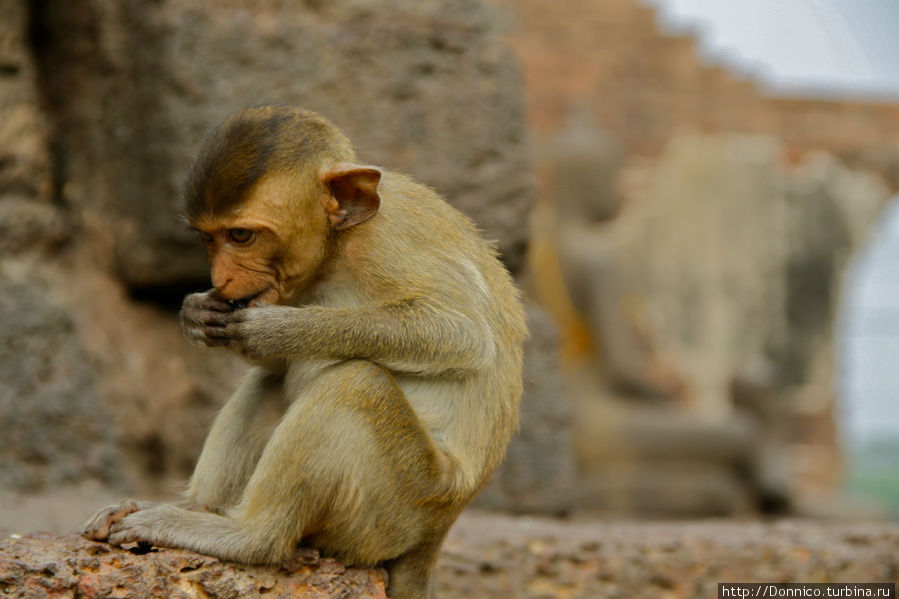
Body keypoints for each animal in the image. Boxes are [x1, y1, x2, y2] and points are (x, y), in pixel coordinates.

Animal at [83, 106, 528, 599]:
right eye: (208, 239)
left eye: (241, 235)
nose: (221, 280)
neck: (337, 247)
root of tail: (438, 530)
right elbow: (272, 367)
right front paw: (197, 313)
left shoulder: (389, 243)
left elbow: (461, 334)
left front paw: (278, 330)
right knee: (271, 383)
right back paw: (198, 509)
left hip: (401, 504)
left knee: (354, 383)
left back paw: (246, 535)